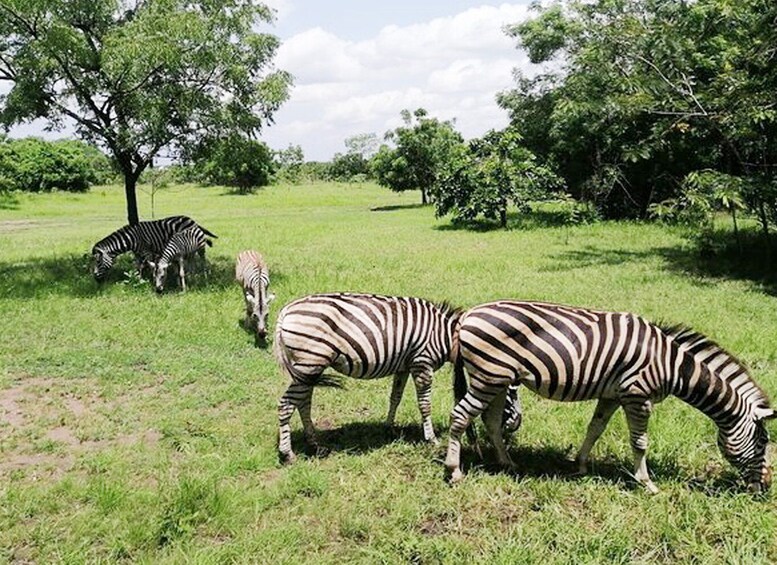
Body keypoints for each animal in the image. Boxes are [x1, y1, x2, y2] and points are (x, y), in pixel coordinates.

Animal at [274, 290, 460, 462]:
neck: (443, 335)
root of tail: (286, 311)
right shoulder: (422, 364)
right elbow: (425, 404)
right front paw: (431, 439)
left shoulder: (404, 367)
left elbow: (395, 397)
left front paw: (389, 428)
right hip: (309, 363)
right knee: (286, 404)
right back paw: (288, 454)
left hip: (309, 369)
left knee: (303, 402)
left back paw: (314, 444)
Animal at [446, 302, 772, 492]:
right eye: (763, 442)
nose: (765, 487)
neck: (672, 365)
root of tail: (469, 314)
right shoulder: (638, 396)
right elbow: (640, 442)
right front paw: (646, 483)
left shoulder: (612, 395)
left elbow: (595, 429)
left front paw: (580, 465)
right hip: (488, 376)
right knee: (460, 416)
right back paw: (454, 470)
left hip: (498, 379)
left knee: (489, 420)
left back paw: (507, 462)